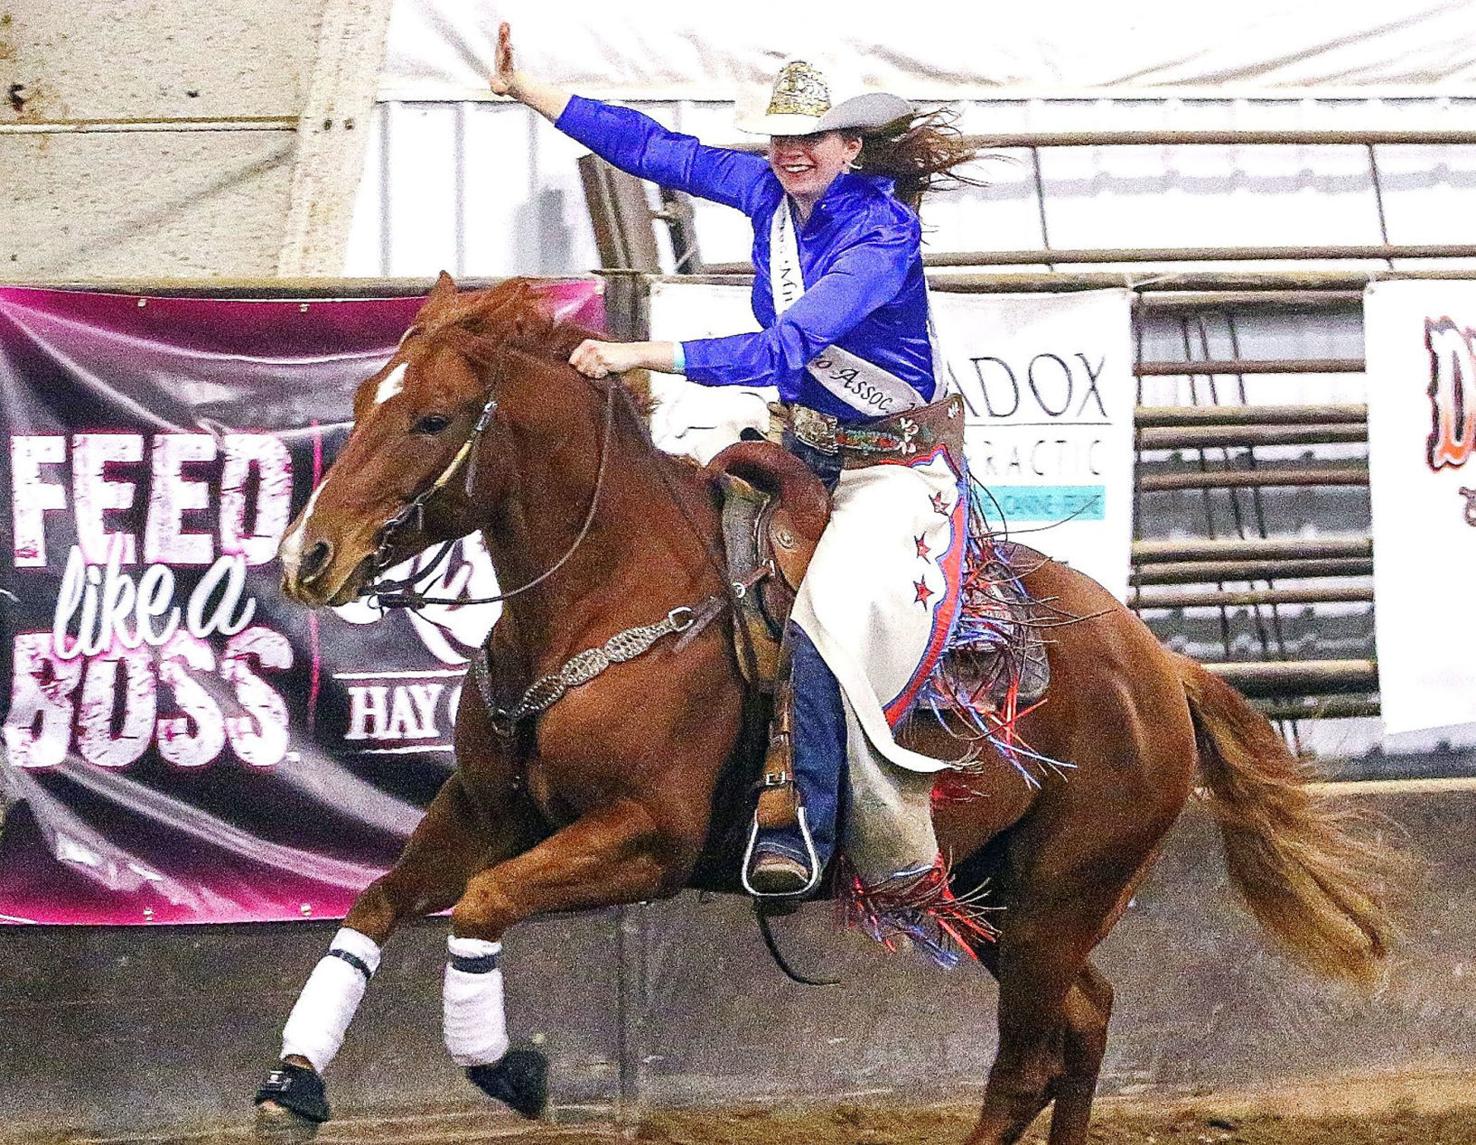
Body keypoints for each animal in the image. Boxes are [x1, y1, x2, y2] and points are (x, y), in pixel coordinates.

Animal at [259, 277, 1387, 1145]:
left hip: (1061, 895)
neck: (604, 597)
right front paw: (293, 1080)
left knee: (1029, 1057)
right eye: (361, 395)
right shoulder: (487, 810)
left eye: (433, 417)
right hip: (993, 891)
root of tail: (1160, 665)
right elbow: (376, 903)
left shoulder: (645, 838)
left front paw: (505, 1066)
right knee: (1086, 1020)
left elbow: (485, 902)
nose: (309, 556)